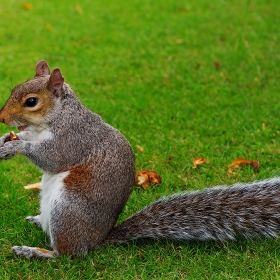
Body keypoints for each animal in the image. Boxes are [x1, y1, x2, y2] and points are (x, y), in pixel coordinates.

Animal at [0, 60, 278, 258]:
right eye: (13, 89)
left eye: (31, 101)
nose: (1, 118)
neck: (56, 117)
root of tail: (98, 239)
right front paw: (5, 140)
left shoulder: (74, 140)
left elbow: (51, 158)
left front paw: (16, 146)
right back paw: (37, 221)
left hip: (67, 209)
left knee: (69, 254)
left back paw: (35, 252)